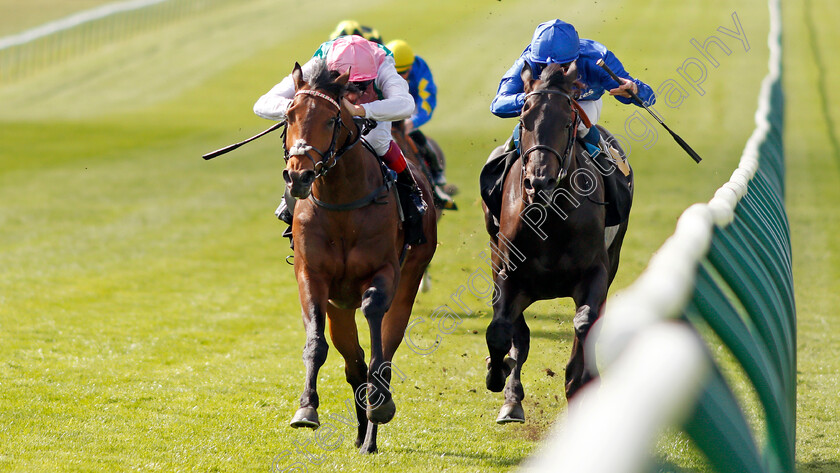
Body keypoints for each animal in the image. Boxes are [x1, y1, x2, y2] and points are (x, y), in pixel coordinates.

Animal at [284, 60, 436, 452]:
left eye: (331, 119)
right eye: (289, 115)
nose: (298, 176)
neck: (341, 202)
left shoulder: (385, 271)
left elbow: (375, 323)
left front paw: (380, 407)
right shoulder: (312, 276)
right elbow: (316, 342)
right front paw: (306, 408)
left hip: (409, 279)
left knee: (385, 348)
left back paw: (371, 431)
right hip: (339, 306)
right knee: (353, 362)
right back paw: (360, 432)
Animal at [482, 61, 632, 420]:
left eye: (567, 122)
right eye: (524, 121)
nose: (539, 182)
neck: (550, 217)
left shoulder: (596, 271)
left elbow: (585, 322)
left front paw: (579, 381)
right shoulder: (508, 275)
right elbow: (501, 331)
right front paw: (498, 375)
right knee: (518, 333)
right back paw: (512, 396)